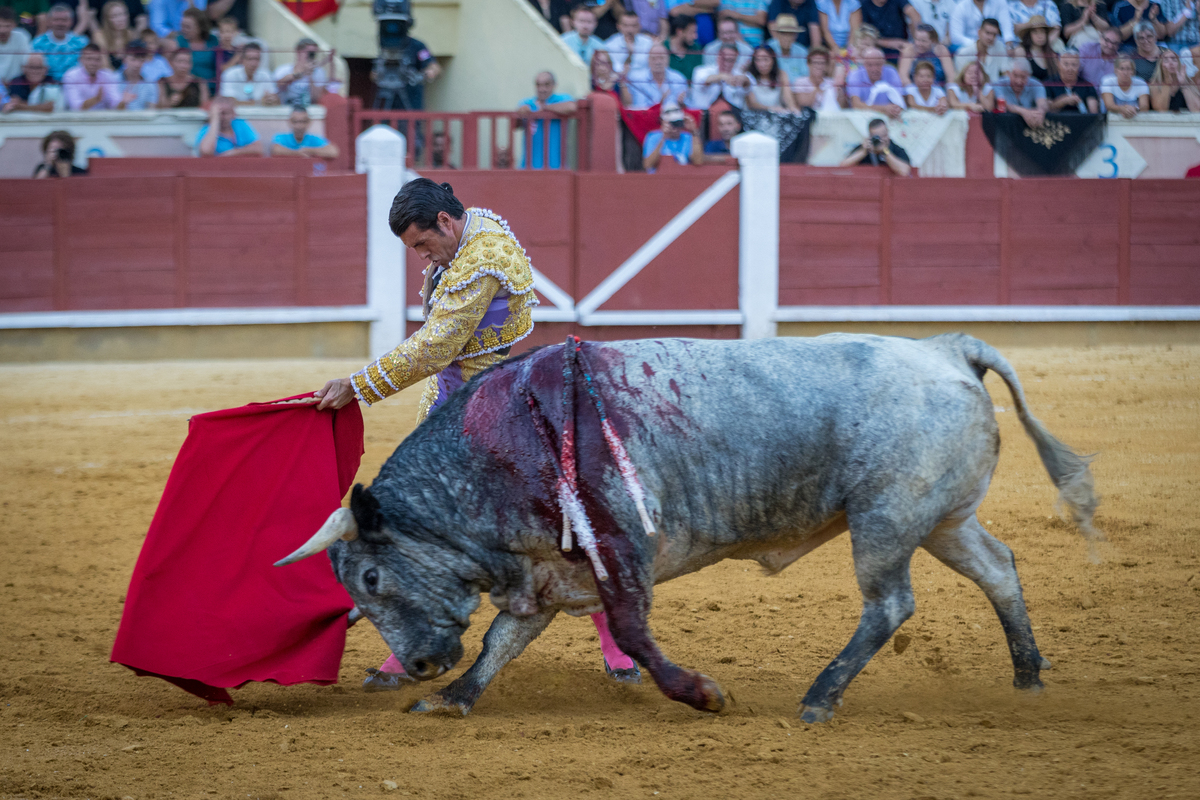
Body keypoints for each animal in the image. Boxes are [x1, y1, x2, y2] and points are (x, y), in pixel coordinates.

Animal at [276, 335, 1099, 724]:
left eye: (372, 576)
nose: (416, 665)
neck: (497, 448)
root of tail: (944, 347)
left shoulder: (618, 549)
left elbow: (632, 632)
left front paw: (702, 693)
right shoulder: (545, 574)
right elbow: (501, 641)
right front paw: (449, 700)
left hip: (886, 519)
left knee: (890, 604)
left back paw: (819, 698)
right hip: (942, 519)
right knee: (998, 567)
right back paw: (1028, 679)